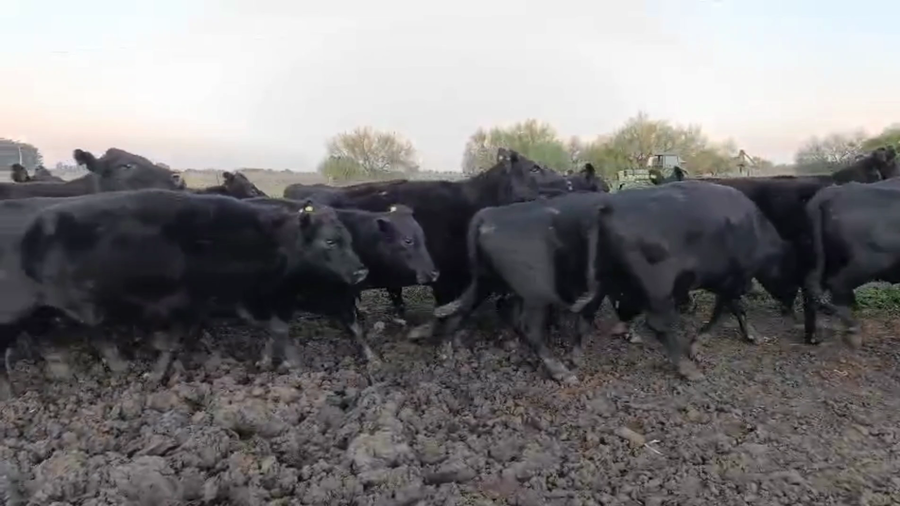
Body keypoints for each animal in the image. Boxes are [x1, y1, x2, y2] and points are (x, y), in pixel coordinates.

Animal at [0, 190, 367, 398]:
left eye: (349, 238)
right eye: (331, 240)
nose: (361, 271)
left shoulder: (213, 303)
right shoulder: (213, 299)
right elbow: (276, 329)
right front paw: (296, 365)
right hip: (15, 313)